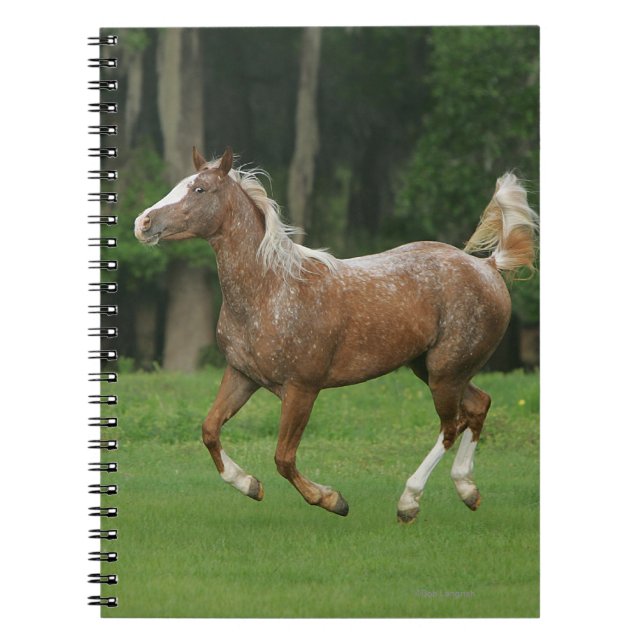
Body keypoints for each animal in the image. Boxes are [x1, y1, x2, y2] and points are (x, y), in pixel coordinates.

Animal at [134, 147, 538, 523]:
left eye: (199, 188)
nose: (142, 222)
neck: (270, 290)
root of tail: (488, 267)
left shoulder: (302, 388)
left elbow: (283, 458)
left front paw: (333, 500)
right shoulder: (242, 376)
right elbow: (210, 429)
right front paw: (249, 485)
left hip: (445, 372)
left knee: (451, 425)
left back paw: (409, 502)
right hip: (434, 369)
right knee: (478, 406)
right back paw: (468, 490)